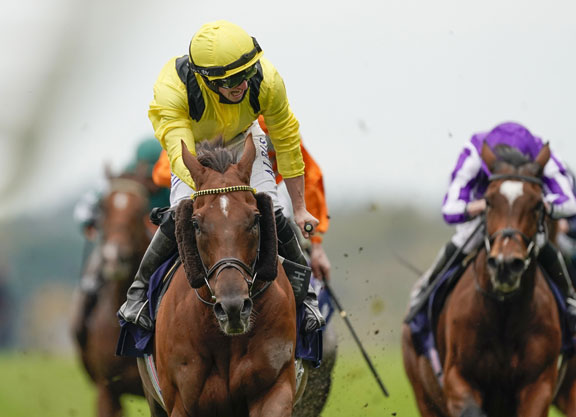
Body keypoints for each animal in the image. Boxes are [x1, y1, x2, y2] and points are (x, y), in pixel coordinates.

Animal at [402, 142, 567, 416]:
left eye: (537, 205)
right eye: (488, 201)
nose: (505, 265)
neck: (504, 314)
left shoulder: (539, 384)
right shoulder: (457, 379)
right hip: (425, 396)